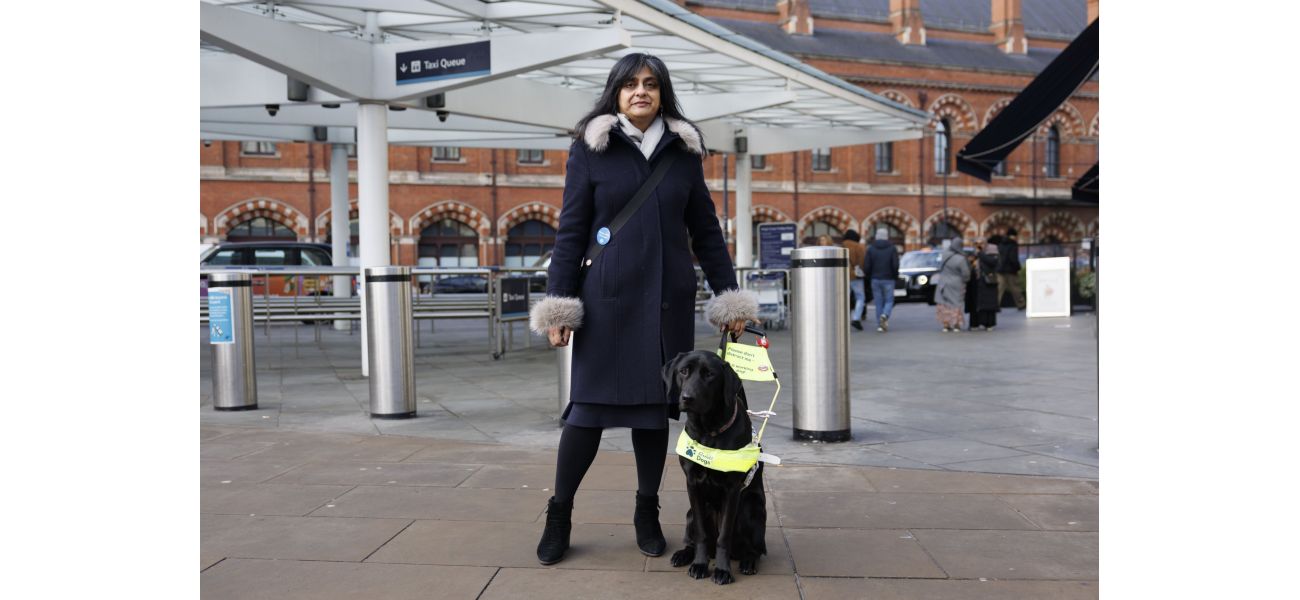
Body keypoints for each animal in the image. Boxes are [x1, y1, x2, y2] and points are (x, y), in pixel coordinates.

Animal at [665, 348, 764, 584]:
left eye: (710, 374)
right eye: (683, 371)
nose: (687, 398)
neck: (708, 431)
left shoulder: (732, 489)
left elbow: (724, 536)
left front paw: (722, 570)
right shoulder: (692, 485)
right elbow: (701, 534)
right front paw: (700, 565)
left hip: (752, 507)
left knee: (754, 549)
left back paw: (748, 562)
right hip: (691, 513)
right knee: (695, 538)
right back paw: (684, 554)